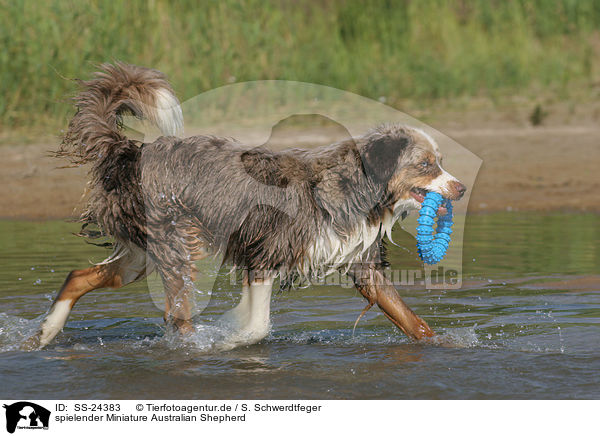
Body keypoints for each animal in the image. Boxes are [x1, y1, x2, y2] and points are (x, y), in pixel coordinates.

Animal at [22, 63, 464, 350]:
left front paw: (447, 344)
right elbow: (256, 326)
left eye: (440, 161)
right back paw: (192, 346)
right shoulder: (265, 253)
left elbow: (413, 322)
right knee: (176, 316)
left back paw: (43, 335)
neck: (354, 187)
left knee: (78, 276)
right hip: (176, 244)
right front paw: (228, 338)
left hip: (140, 256)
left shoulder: (363, 265)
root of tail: (130, 151)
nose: (459, 189)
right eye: (427, 164)